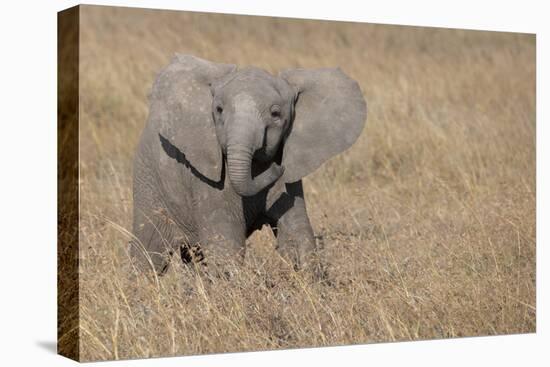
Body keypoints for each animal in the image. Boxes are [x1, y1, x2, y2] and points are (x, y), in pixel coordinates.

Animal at [132, 54, 368, 274]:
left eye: (275, 114)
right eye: (218, 110)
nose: (278, 167)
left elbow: (297, 233)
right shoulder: (207, 180)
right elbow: (225, 243)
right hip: (149, 181)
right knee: (149, 252)